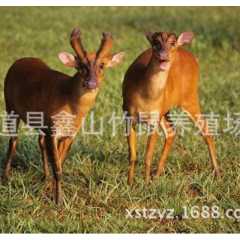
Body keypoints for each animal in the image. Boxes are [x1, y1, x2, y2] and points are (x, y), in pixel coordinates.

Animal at [2, 28, 124, 204]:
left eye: (101, 65)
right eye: (81, 66)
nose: (91, 83)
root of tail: (18, 61)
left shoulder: (69, 134)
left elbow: (59, 163)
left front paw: (53, 192)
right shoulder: (53, 129)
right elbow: (57, 168)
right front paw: (58, 200)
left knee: (39, 142)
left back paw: (44, 177)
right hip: (10, 106)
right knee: (13, 140)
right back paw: (5, 177)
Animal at [123, 30, 220, 184]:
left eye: (172, 43)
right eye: (155, 42)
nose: (163, 55)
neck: (145, 98)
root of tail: (191, 56)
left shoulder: (154, 120)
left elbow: (148, 156)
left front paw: (145, 184)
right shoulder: (128, 115)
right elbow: (132, 156)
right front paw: (130, 183)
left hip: (190, 97)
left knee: (205, 128)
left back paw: (217, 173)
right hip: (166, 108)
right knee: (171, 131)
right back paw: (157, 175)